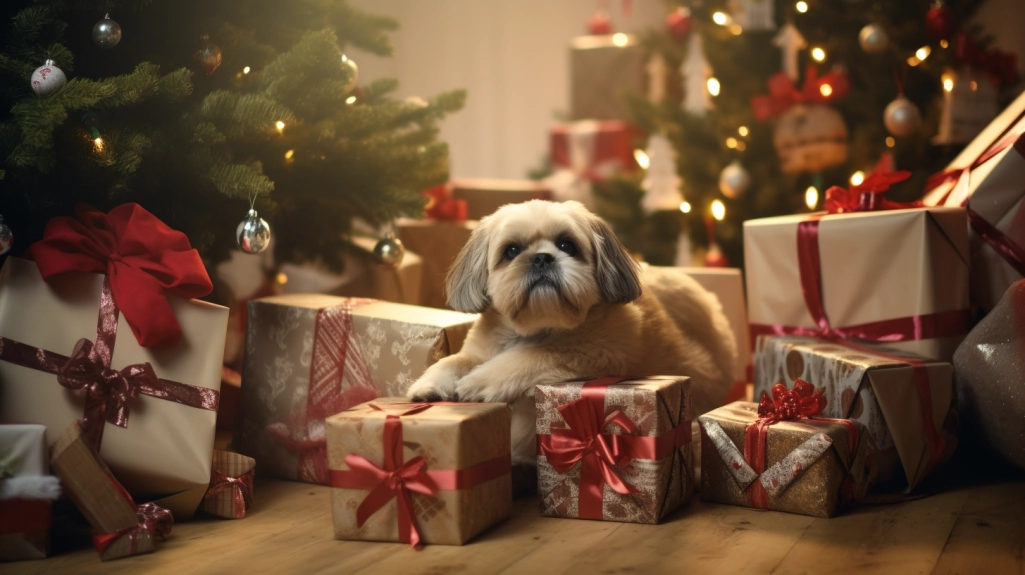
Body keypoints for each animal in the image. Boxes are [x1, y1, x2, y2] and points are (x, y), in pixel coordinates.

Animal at [407, 199, 738, 463]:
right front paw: (429, 384)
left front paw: (479, 383)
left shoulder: (598, 352)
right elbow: (455, 360)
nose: (542, 257)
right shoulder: (481, 350)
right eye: (511, 251)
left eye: (567, 245)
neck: (539, 327)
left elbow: (531, 357)